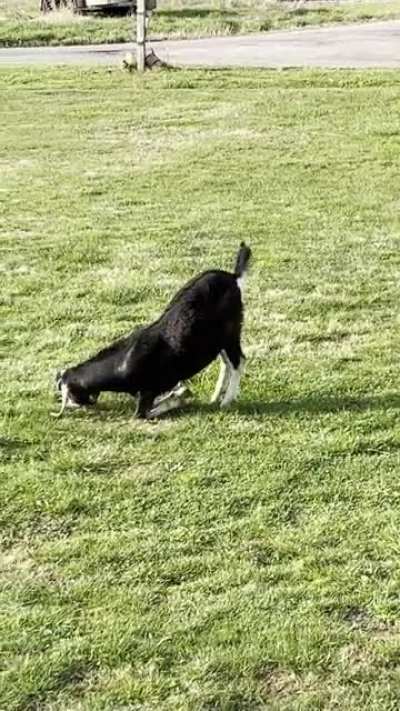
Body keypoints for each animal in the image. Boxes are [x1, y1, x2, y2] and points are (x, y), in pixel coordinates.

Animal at [55, 242, 251, 419]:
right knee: (226, 363)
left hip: (230, 332)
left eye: (70, 395)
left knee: (238, 361)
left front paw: (181, 396)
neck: (122, 363)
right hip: (216, 340)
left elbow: (144, 414)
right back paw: (215, 398)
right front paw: (180, 393)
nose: (69, 406)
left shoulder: (147, 392)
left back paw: (226, 401)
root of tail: (234, 277)